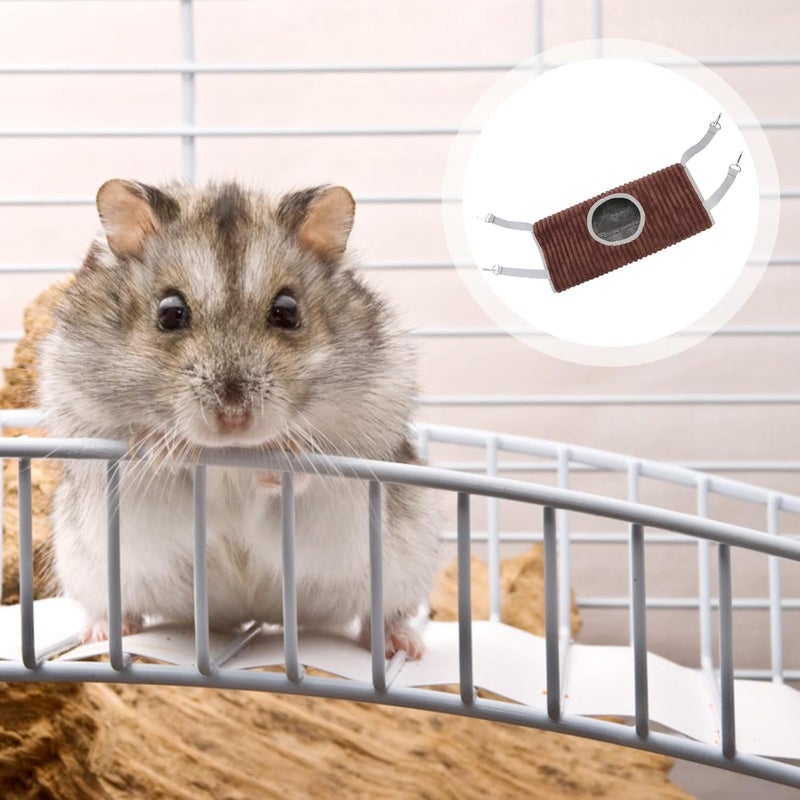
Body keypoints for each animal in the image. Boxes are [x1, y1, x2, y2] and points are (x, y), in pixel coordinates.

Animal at [38, 178, 442, 658]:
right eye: (170, 312)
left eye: (287, 310)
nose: (234, 418)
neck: (231, 453)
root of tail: (250, 616)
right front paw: (163, 446)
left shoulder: (363, 434)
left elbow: (310, 471)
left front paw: (283, 452)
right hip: (88, 568)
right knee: (113, 607)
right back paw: (101, 632)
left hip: (405, 567)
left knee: (381, 615)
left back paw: (403, 645)